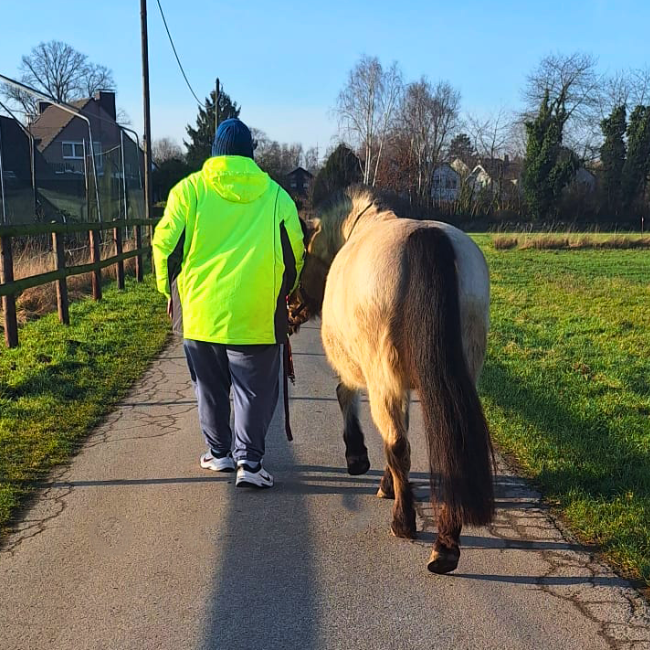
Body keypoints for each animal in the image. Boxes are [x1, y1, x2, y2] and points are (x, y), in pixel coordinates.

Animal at [288, 187, 494, 574]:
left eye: (301, 259)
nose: (290, 308)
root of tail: (427, 238)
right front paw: (387, 483)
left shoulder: (363, 373)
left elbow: (346, 397)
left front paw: (357, 458)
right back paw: (445, 545)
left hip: (383, 379)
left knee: (398, 443)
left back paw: (406, 523)